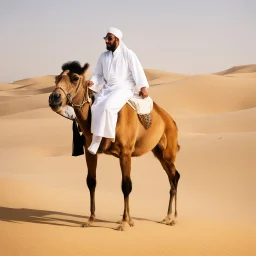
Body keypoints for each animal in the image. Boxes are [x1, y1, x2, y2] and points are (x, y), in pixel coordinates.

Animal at [48, 61, 180, 231]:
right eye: (56, 79)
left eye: (75, 77)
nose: (54, 97)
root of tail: (171, 121)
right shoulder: (90, 152)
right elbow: (91, 182)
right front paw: (91, 220)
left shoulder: (125, 153)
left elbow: (126, 185)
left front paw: (124, 222)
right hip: (158, 152)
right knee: (171, 177)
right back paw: (167, 217)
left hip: (168, 151)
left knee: (175, 176)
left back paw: (173, 218)